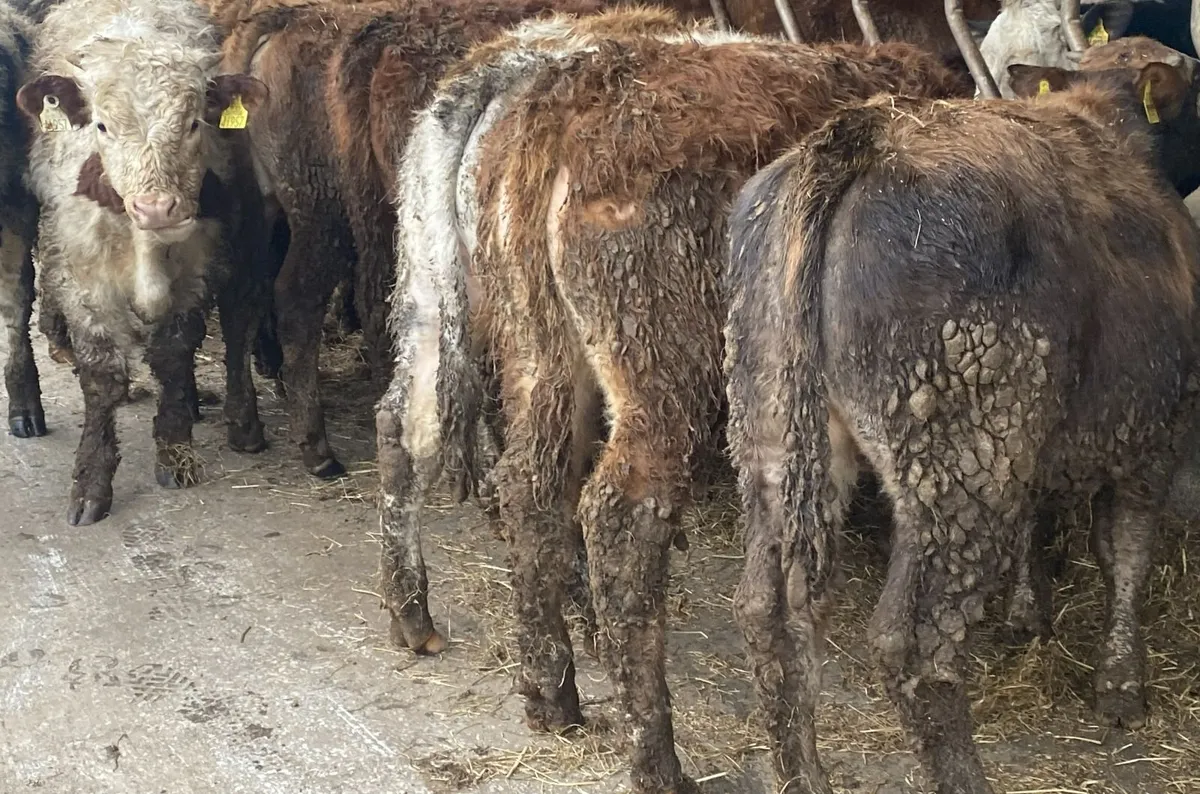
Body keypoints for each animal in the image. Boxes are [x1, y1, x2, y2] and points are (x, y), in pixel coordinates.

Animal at [16, 0, 270, 525]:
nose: (157, 208)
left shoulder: (197, 272)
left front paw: (175, 453)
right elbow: (102, 378)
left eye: (193, 124)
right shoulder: (84, 281)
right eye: (102, 126)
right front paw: (91, 478)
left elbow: (173, 355)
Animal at [724, 59, 1198, 794]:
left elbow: (1040, 525)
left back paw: (802, 775)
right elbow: (1125, 550)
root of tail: (864, 135)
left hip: (773, 437)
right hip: (958, 462)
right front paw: (1121, 683)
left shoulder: (1034, 448)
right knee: (916, 644)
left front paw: (1029, 615)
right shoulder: (1154, 430)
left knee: (765, 614)